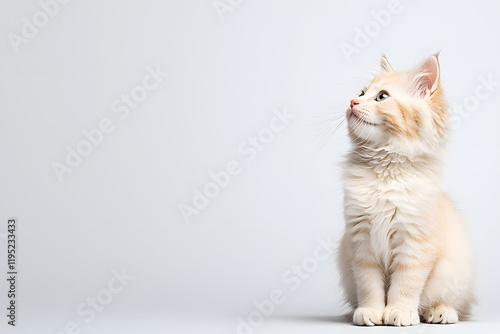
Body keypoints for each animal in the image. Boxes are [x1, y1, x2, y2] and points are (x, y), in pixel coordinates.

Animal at [338, 54, 474, 326]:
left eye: (382, 97)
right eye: (361, 93)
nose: (352, 102)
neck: (386, 171)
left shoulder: (414, 242)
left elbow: (405, 284)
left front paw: (399, 311)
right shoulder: (361, 242)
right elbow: (368, 285)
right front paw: (370, 311)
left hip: (454, 273)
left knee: (455, 305)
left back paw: (439, 312)